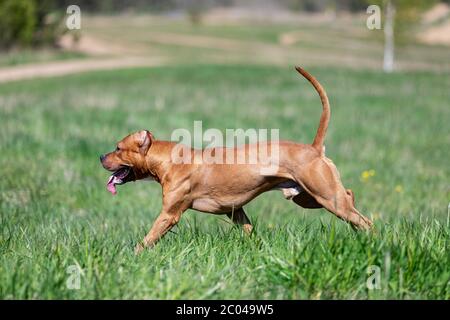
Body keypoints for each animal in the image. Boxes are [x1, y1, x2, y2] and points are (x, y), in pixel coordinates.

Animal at [101, 67, 372, 252]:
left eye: (118, 148)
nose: (101, 156)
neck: (168, 160)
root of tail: (314, 149)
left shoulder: (169, 215)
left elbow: (146, 241)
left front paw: (132, 257)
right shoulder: (235, 211)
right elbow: (249, 230)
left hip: (325, 197)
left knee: (363, 219)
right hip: (308, 198)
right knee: (350, 197)